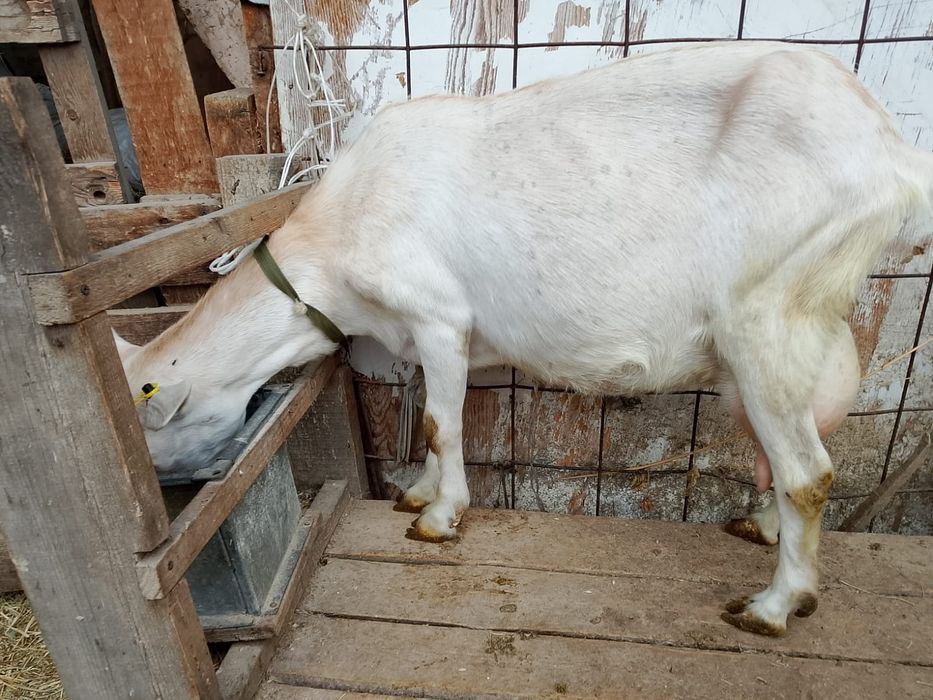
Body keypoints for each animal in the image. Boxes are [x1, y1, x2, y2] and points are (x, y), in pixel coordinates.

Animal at [116, 41, 933, 637]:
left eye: (152, 437)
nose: (170, 505)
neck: (337, 231)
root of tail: (895, 153)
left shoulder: (438, 314)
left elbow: (440, 423)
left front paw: (439, 519)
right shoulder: (437, 338)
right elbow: (435, 418)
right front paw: (418, 494)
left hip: (765, 313)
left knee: (807, 472)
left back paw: (772, 606)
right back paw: (761, 532)